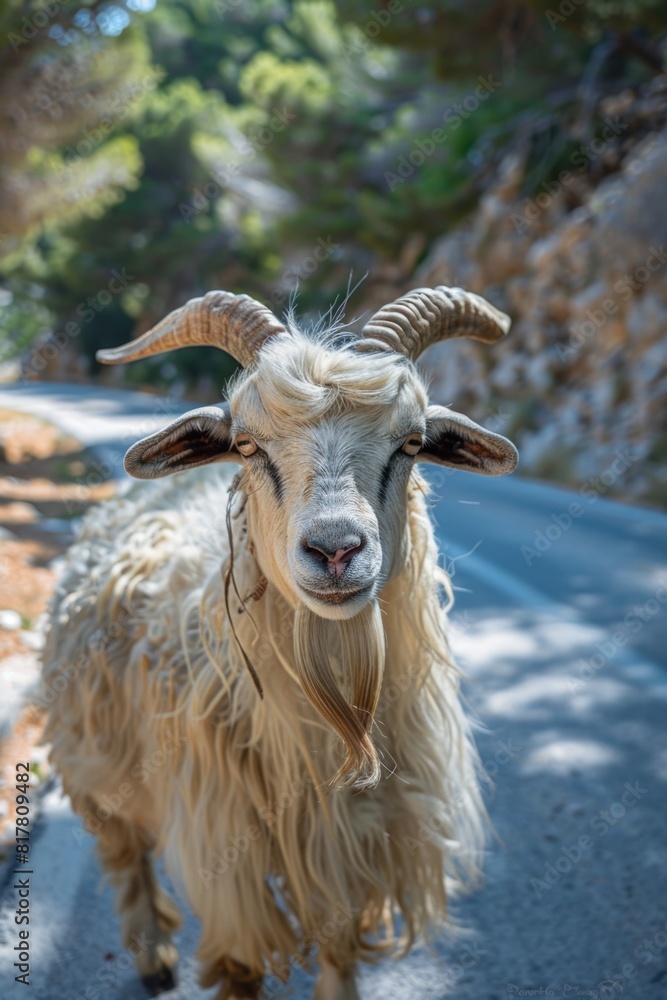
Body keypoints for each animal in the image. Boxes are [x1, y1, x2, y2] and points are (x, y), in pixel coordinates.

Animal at [42, 285, 518, 1000]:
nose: (335, 550)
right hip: (94, 768)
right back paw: (153, 954)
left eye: (410, 442)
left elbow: (339, 953)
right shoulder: (228, 868)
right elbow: (239, 966)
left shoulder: (356, 851)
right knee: (126, 855)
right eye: (245, 444)